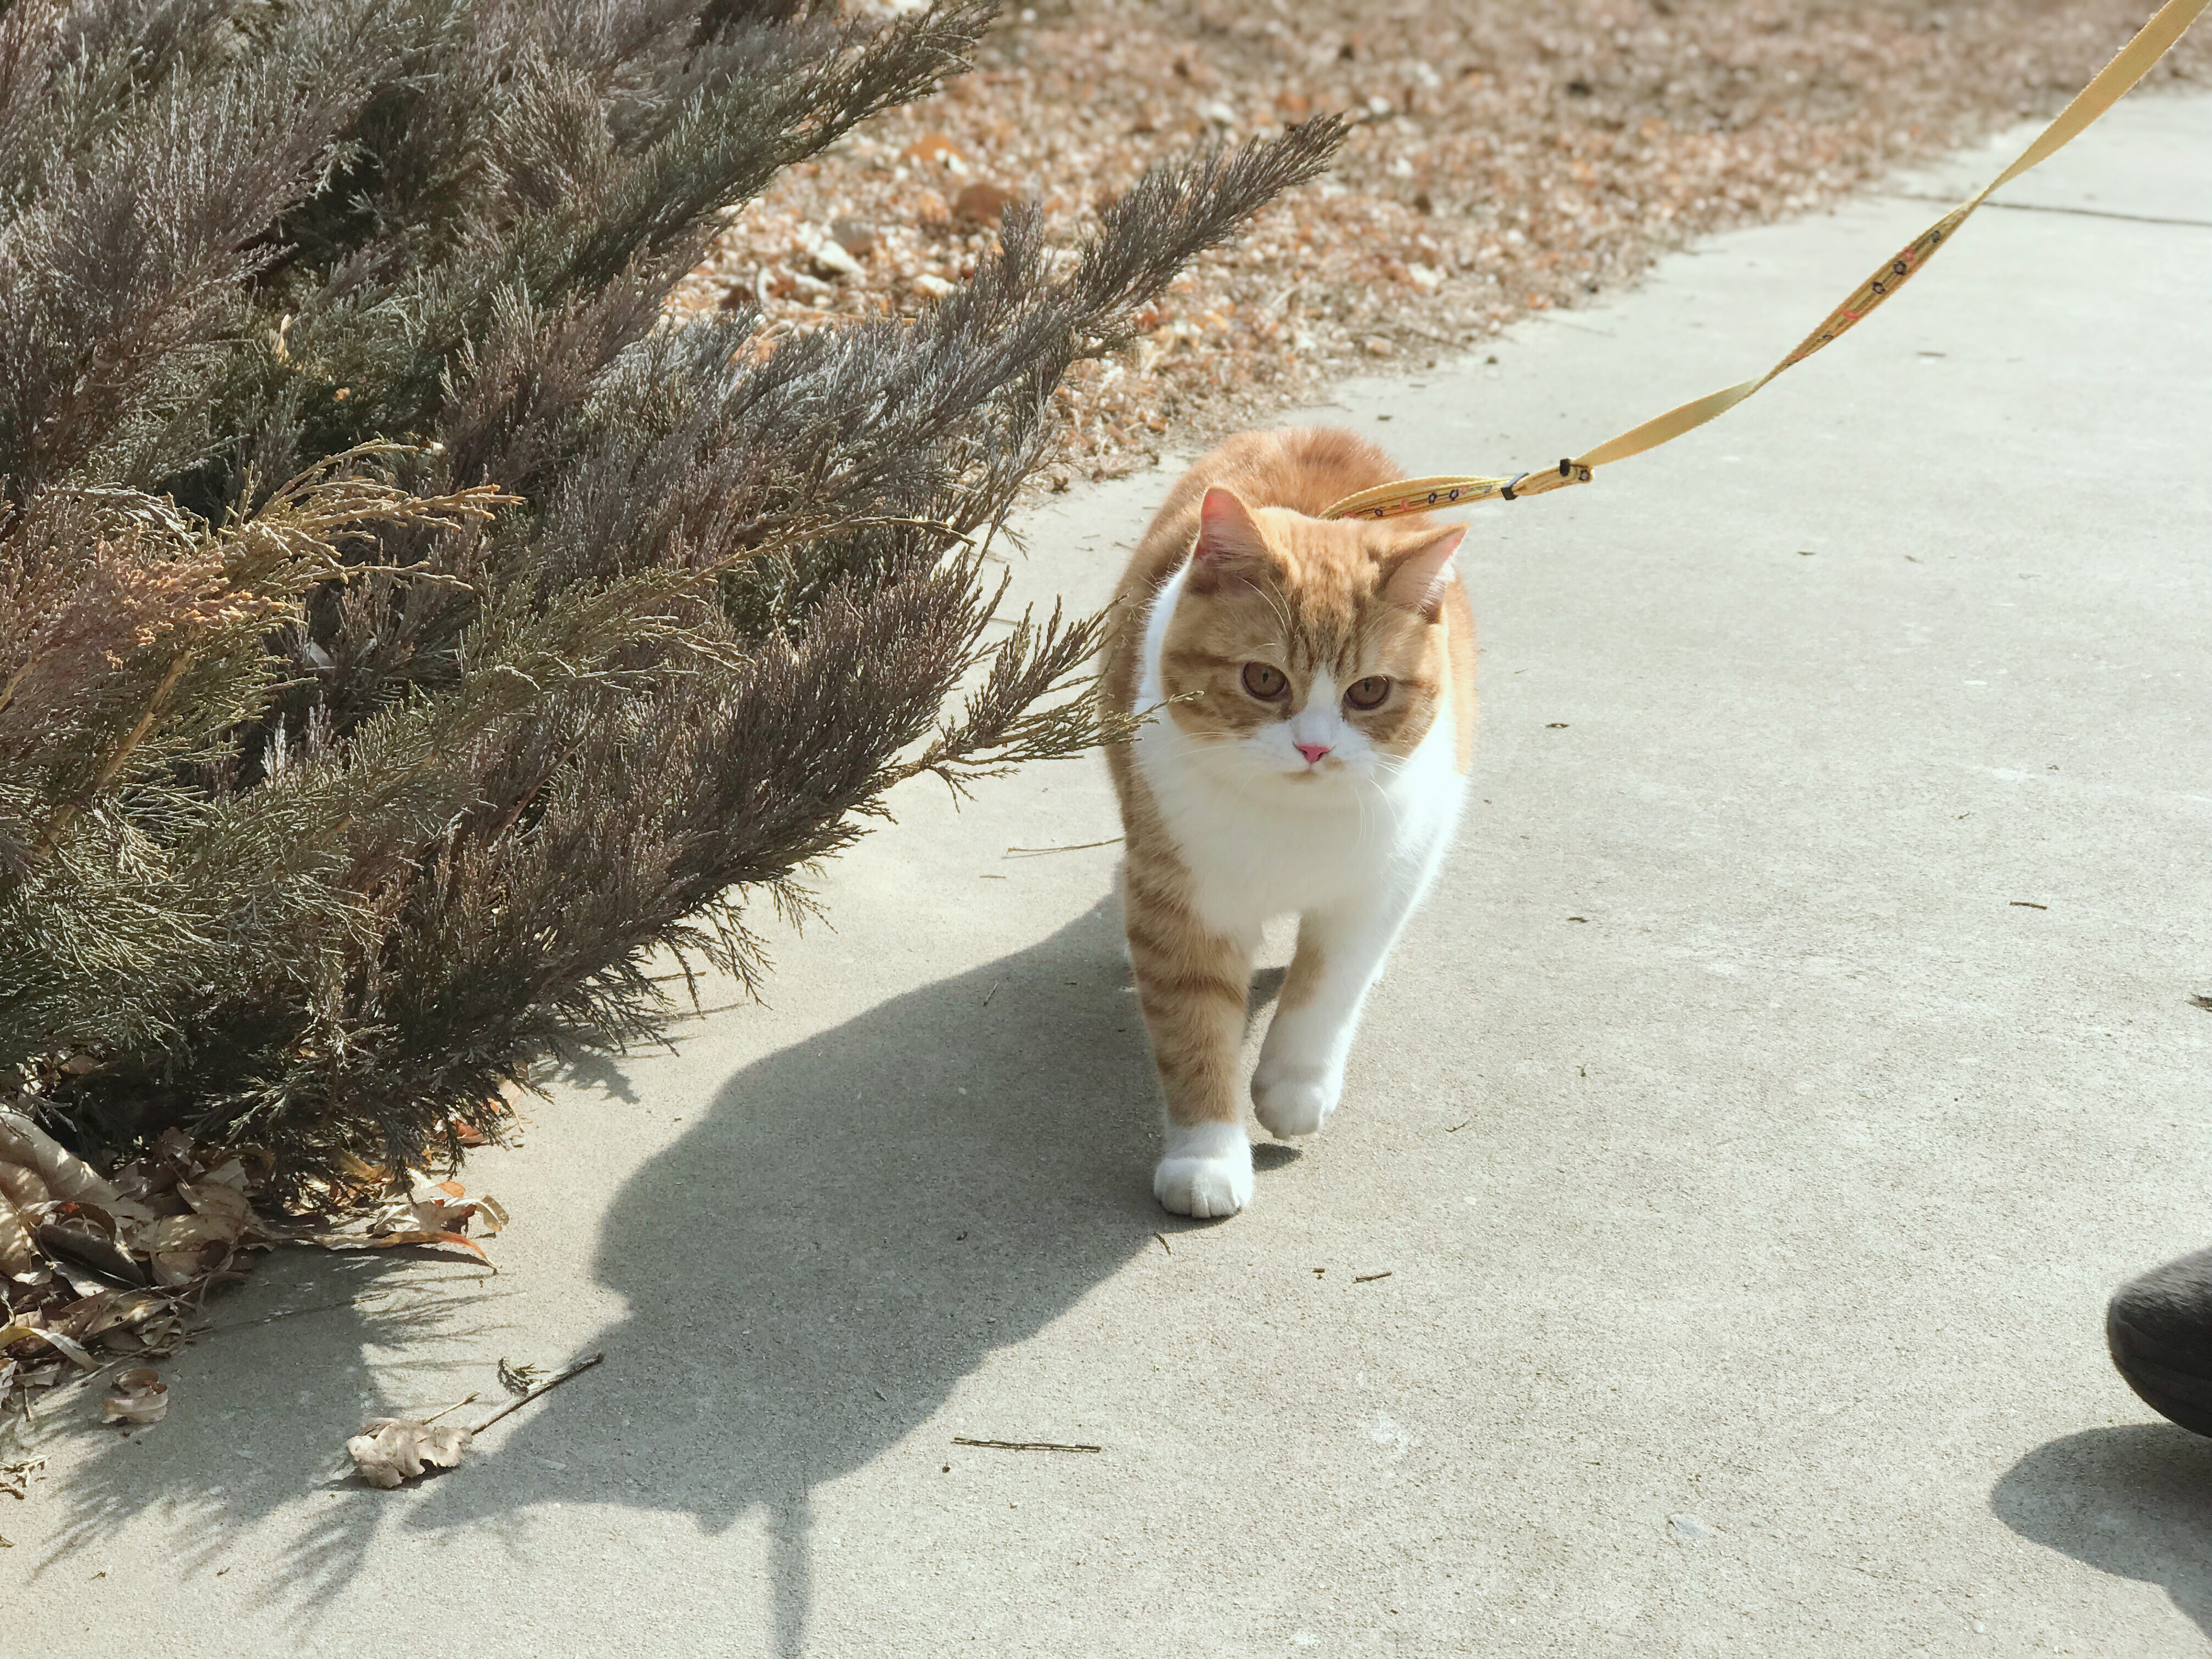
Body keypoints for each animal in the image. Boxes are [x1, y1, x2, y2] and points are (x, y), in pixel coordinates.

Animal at [1101, 422, 1477, 1212]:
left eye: (1368, 692)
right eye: (1264, 680)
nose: (1313, 747)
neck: (1292, 818)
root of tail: (1321, 429)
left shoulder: (1381, 883)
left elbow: (1327, 986)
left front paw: (1294, 1088)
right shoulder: (1188, 899)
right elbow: (1194, 1025)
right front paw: (1208, 1155)